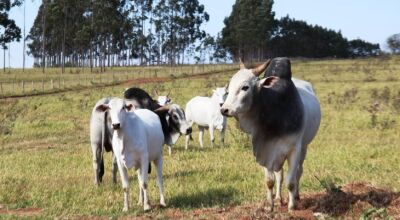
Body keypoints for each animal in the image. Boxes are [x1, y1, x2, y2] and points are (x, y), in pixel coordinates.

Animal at [220, 57, 320, 212]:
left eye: (245, 87)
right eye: (229, 88)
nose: (224, 109)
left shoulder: (294, 150)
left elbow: (291, 182)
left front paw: (291, 207)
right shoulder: (264, 150)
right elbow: (270, 181)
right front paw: (270, 205)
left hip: (304, 148)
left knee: (298, 172)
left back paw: (296, 196)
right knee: (280, 174)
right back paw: (278, 198)